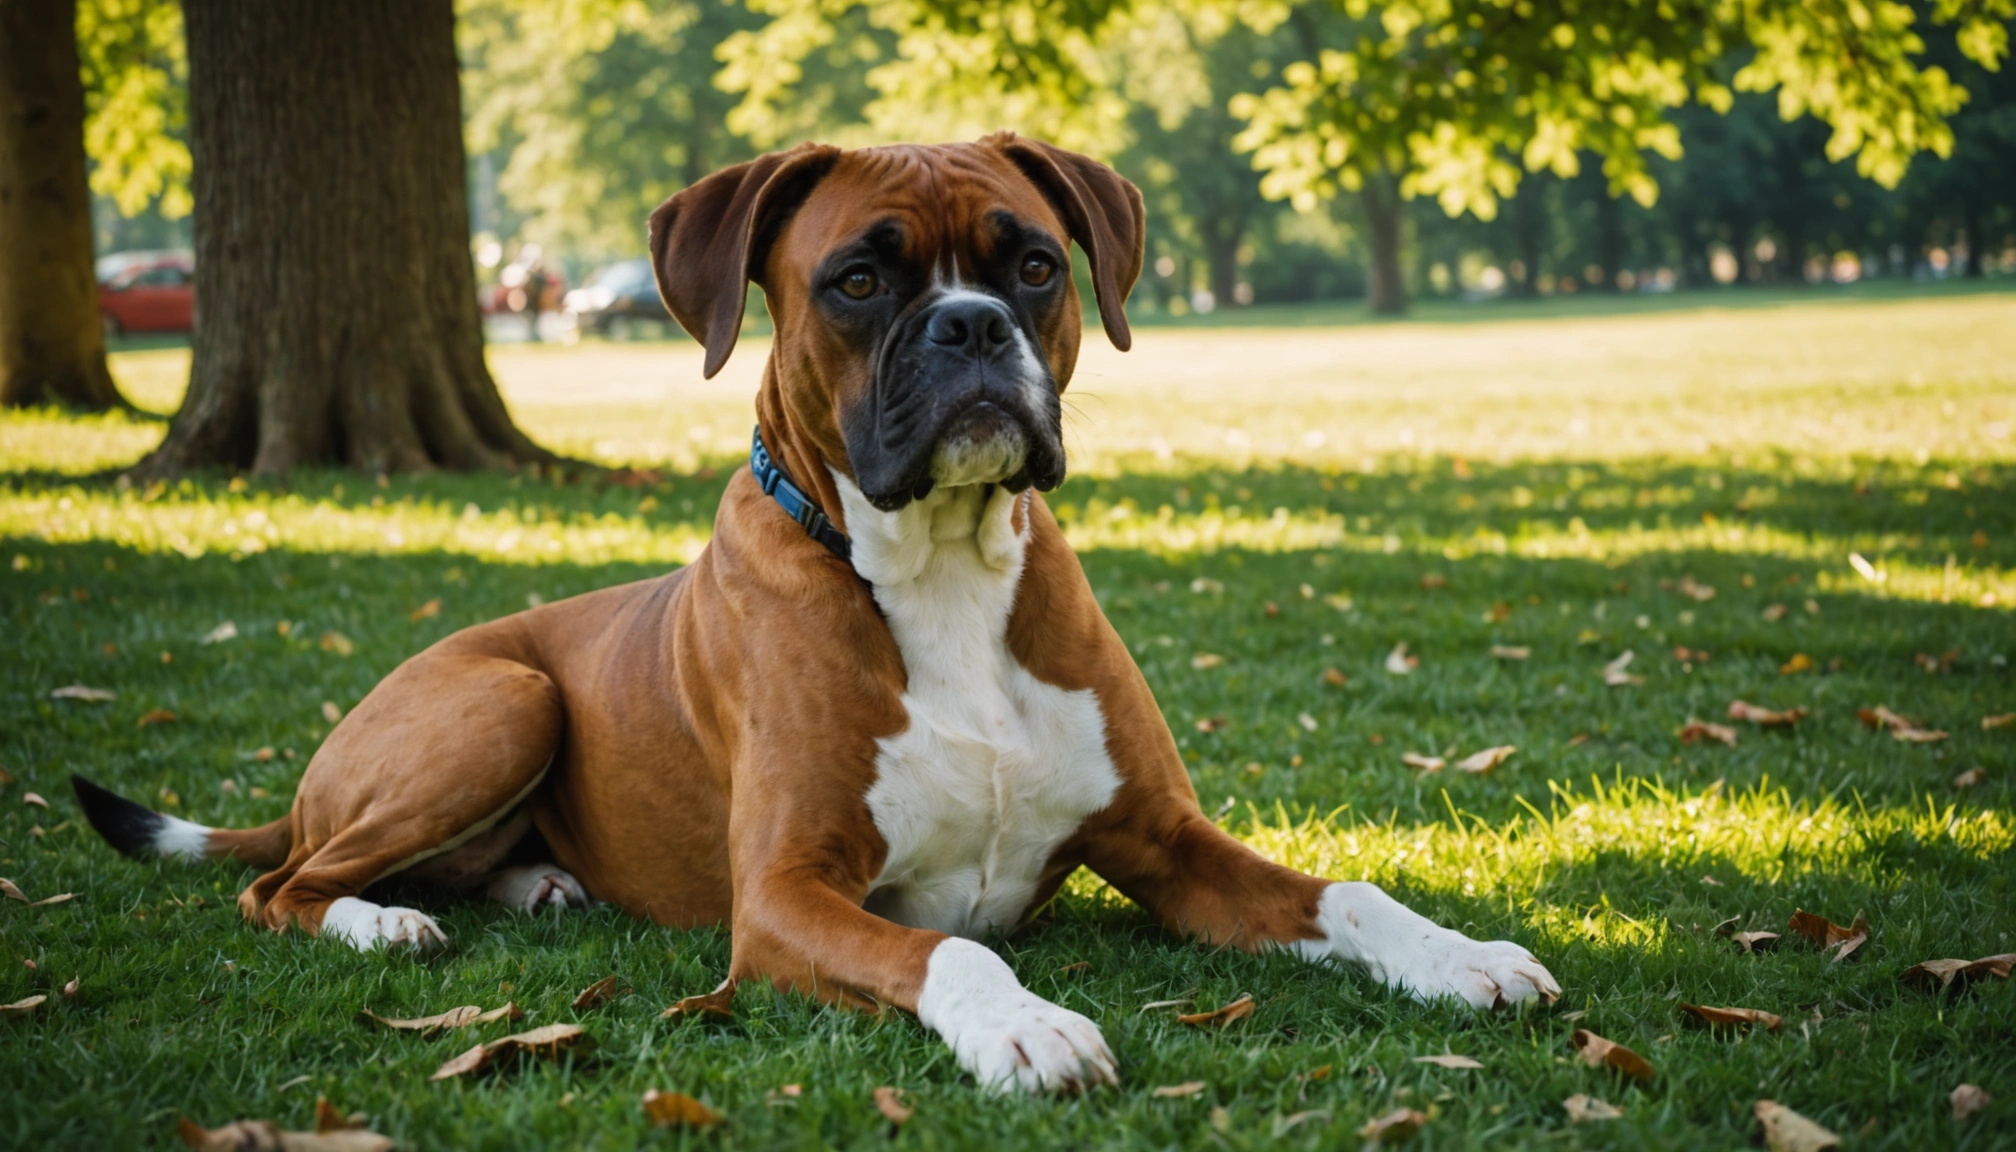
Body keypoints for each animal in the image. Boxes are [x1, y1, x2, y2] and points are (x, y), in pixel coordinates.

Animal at [74, 133, 1556, 1089]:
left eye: (1032, 265)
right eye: (857, 279)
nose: (970, 327)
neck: (942, 569)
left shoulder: (1173, 846)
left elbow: (1352, 891)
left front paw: (1462, 957)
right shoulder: (786, 902)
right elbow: (945, 953)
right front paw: (1027, 1027)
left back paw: (533, 880)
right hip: (505, 696)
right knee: (280, 883)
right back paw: (382, 919)